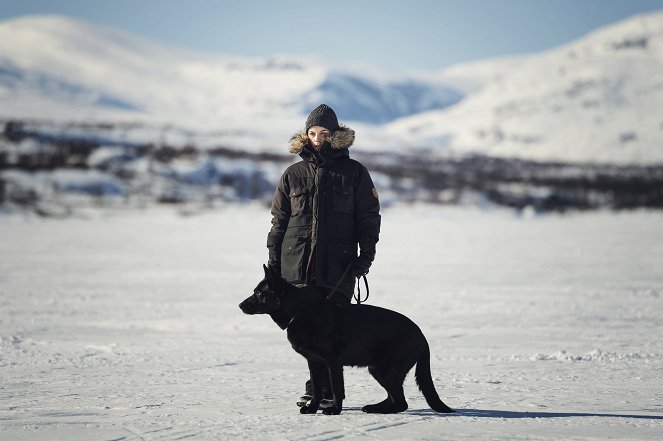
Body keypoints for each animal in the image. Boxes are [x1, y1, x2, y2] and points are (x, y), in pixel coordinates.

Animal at [240, 264, 456, 416]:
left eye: (258, 292)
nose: (240, 305)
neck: (299, 311)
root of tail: (421, 335)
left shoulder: (333, 362)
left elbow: (337, 388)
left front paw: (334, 410)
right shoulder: (315, 362)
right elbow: (317, 389)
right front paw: (312, 409)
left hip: (385, 369)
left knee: (401, 403)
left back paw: (377, 409)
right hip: (377, 368)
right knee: (395, 399)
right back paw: (373, 407)